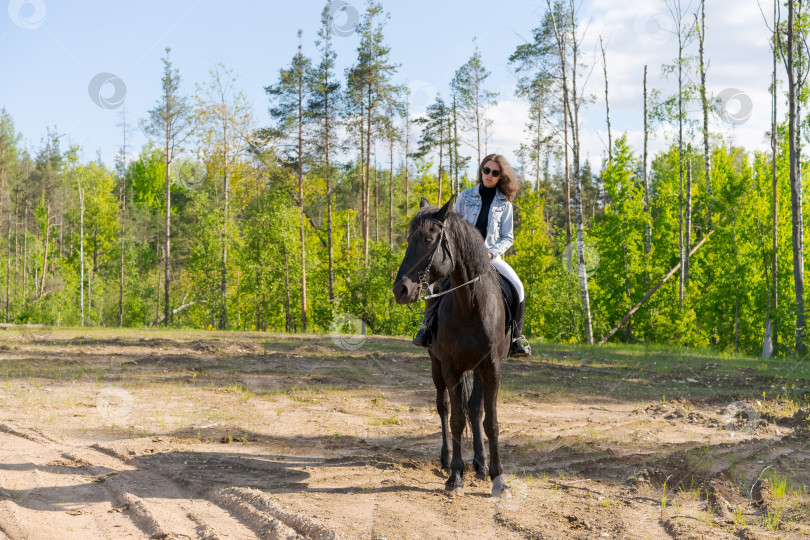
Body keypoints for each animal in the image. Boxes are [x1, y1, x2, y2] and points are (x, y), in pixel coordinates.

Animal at [392, 195, 512, 498]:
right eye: (409, 239)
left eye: (427, 238)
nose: (400, 290)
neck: (470, 305)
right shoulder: (450, 366)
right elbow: (456, 418)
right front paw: (456, 475)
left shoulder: (491, 367)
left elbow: (489, 421)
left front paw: (497, 476)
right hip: (436, 367)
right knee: (444, 407)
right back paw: (446, 460)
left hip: (478, 370)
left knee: (475, 410)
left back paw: (480, 464)